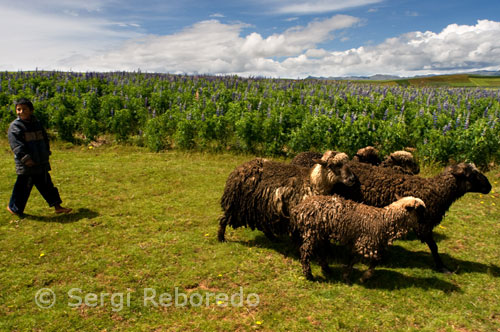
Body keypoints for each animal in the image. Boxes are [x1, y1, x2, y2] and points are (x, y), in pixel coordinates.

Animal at [218, 150, 356, 241]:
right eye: (334, 165)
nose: (352, 179)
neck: (312, 182)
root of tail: (238, 170)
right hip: (236, 204)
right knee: (224, 219)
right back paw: (221, 238)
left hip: (260, 207)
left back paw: (272, 237)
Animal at [292, 195, 424, 282]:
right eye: (420, 210)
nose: (423, 224)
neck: (385, 220)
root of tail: (299, 207)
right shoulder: (365, 243)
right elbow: (373, 260)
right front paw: (363, 277)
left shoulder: (365, 243)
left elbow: (355, 259)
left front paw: (347, 275)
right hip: (312, 231)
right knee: (305, 252)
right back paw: (309, 275)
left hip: (320, 233)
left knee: (320, 251)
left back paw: (327, 270)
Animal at [334, 161, 490, 272]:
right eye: (471, 176)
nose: (489, 187)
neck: (436, 192)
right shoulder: (423, 224)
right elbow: (434, 246)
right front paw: (442, 267)